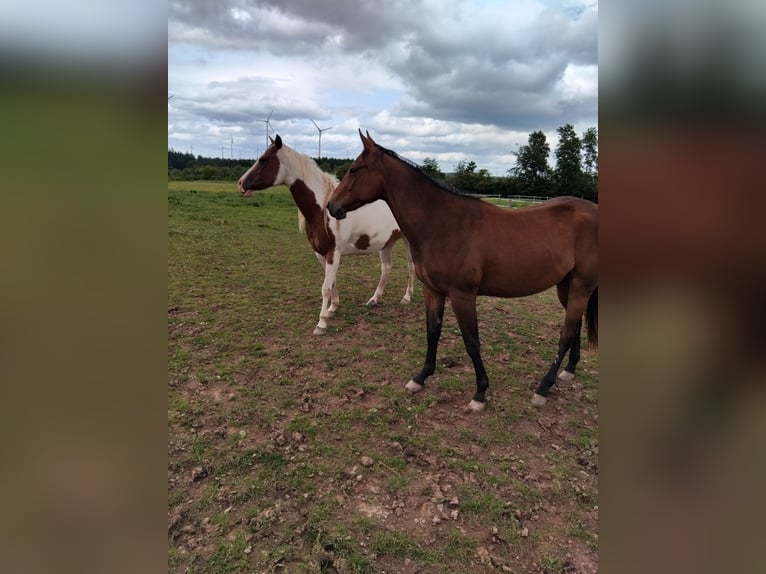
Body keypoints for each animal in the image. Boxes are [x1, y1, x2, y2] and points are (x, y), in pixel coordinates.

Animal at [238, 134, 416, 335]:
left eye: (263, 159)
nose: (241, 183)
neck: (322, 210)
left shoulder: (333, 253)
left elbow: (325, 287)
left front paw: (321, 323)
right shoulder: (321, 254)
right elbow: (332, 283)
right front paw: (332, 309)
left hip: (408, 242)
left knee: (411, 267)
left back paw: (406, 297)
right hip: (387, 243)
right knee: (386, 268)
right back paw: (374, 299)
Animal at [327, 130, 598, 410]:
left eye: (354, 169)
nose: (331, 206)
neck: (444, 224)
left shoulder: (462, 296)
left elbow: (471, 341)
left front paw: (480, 393)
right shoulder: (433, 291)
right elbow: (432, 333)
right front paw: (421, 378)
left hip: (581, 286)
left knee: (566, 334)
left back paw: (543, 388)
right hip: (567, 286)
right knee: (575, 327)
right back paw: (567, 372)